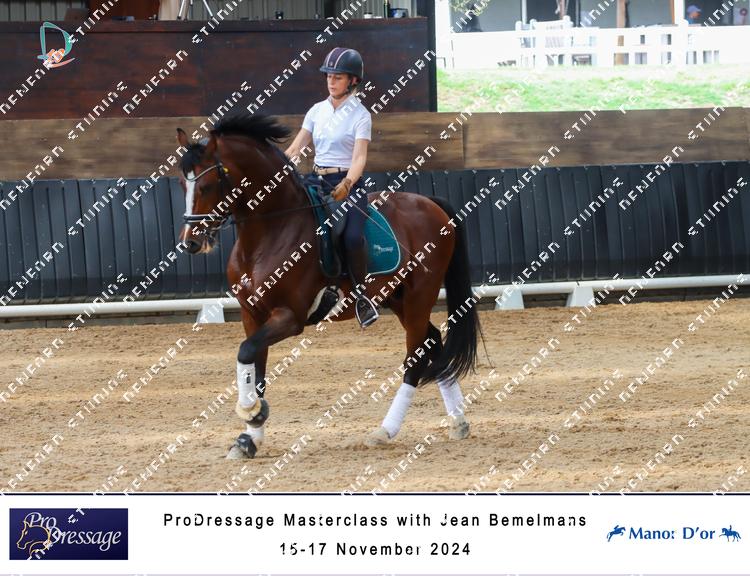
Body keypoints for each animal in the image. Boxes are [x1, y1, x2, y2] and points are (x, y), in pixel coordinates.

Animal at [175, 112, 482, 459]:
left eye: (206, 185)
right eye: (182, 184)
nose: (191, 243)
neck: (271, 230)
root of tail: (429, 203)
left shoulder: (290, 317)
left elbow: (245, 352)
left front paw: (252, 413)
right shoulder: (251, 314)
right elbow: (255, 365)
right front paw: (249, 437)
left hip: (420, 295)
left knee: (416, 357)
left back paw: (385, 431)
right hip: (397, 298)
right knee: (432, 343)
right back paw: (458, 422)